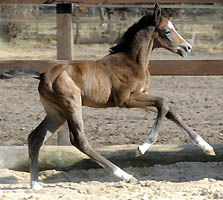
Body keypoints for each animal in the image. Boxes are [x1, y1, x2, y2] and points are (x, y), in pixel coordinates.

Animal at [27, 3, 214, 190]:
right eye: (167, 31)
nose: (187, 47)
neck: (132, 62)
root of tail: (43, 76)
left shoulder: (141, 95)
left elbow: (168, 109)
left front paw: (207, 147)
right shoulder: (126, 100)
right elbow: (164, 102)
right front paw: (142, 148)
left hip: (56, 113)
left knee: (35, 138)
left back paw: (35, 184)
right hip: (72, 105)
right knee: (79, 140)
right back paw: (125, 175)